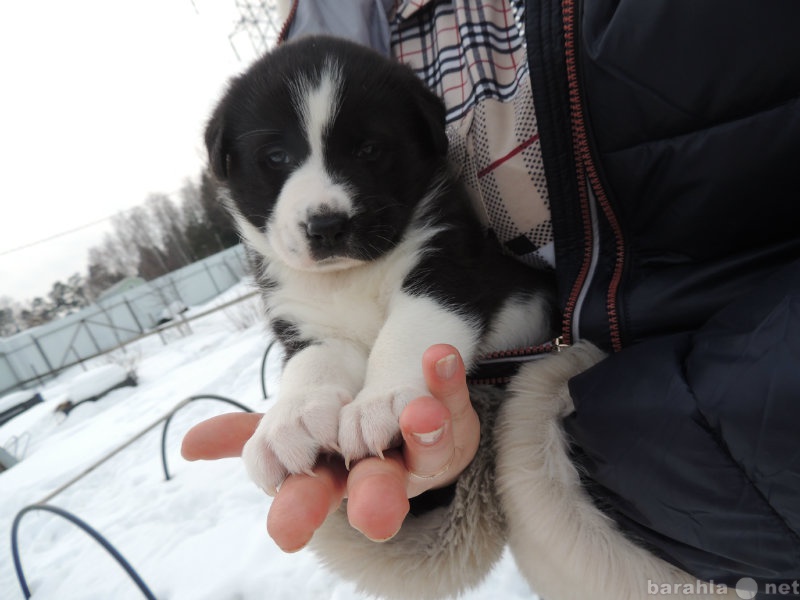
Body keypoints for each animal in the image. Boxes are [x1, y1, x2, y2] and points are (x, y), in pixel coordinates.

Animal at [206, 38, 556, 496]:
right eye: (277, 156)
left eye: (369, 149)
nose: (326, 226)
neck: (347, 276)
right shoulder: (309, 318)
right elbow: (312, 363)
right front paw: (289, 422)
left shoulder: (444, 264)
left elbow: (407, 330)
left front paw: (381, 401)